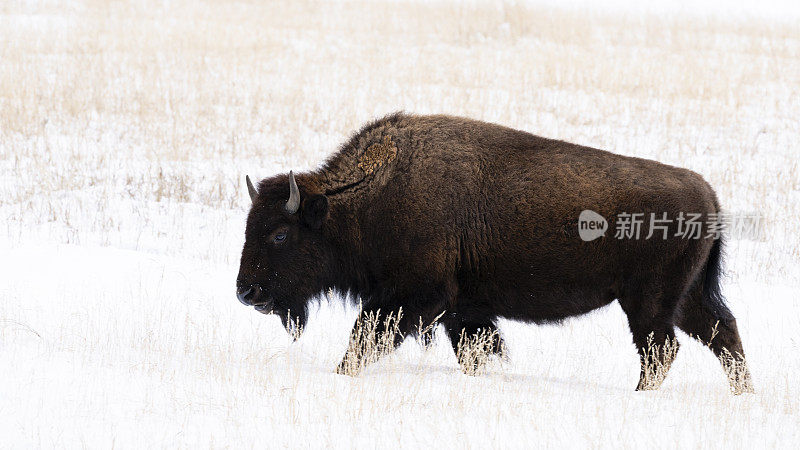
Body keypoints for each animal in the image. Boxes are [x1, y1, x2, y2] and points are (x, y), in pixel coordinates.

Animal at [234, 113, 752, 394]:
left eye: (279, 235)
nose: (246, 292)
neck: (366, 198)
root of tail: (709, 196)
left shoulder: (413, 299)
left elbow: (364, 340)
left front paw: (341, 375)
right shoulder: (463, 311)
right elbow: (477, 350)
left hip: (649, 301)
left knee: (662, 350)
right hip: (683, 298)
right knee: (722, 333)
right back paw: (742, 396)